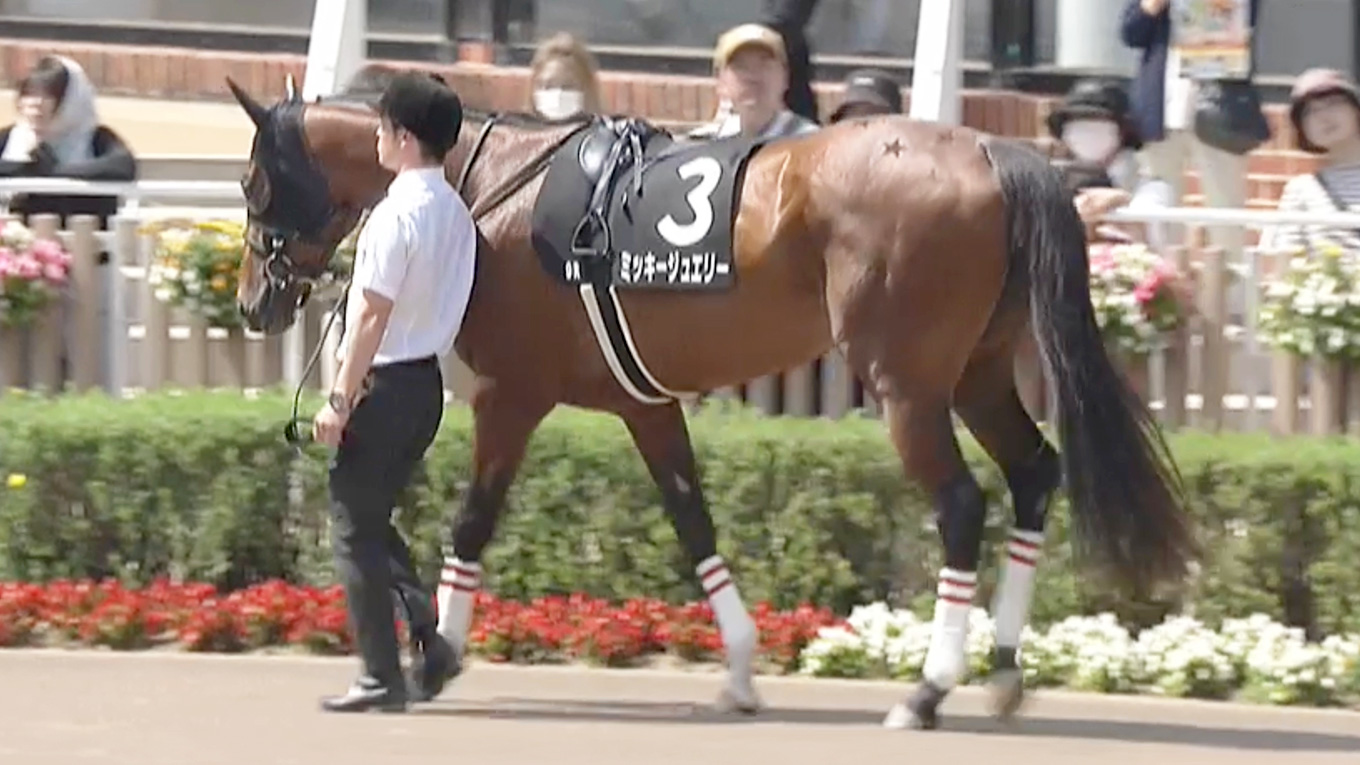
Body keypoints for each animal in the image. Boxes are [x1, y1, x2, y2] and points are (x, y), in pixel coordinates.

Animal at [224, 75, 1199, 730]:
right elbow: (693, 520)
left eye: (251, 184)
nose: (253, 302)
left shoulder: (513, 392)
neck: (487, 191)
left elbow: (473, 520)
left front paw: (438, 658)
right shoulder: (645, 404)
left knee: (962, 504)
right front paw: (738, 670)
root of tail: (994, 149)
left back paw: (928, 687)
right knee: (1035, 472)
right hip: (977, 373)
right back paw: (1000, 669)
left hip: (907, 384)